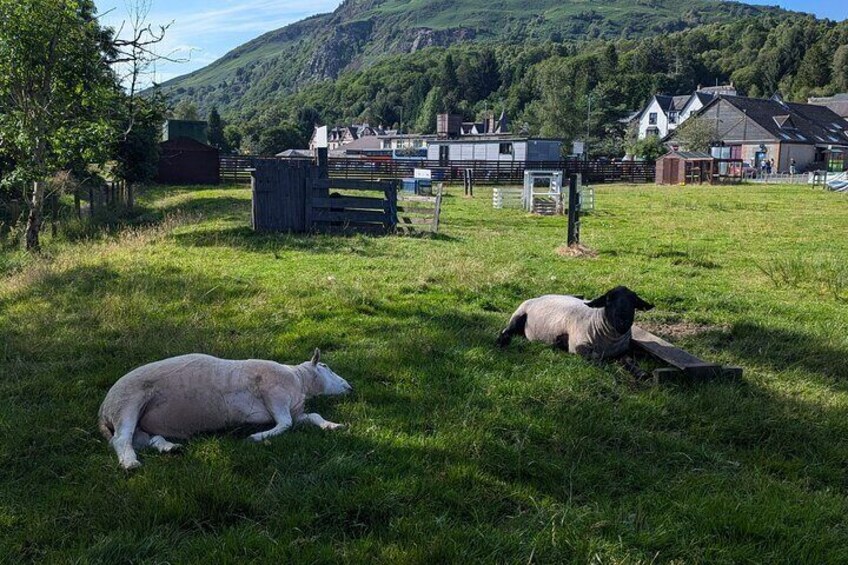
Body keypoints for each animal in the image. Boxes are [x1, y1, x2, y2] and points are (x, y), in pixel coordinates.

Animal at [98, 350, 352, 470]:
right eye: (326, 366)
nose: (350, 387)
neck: (299, 380)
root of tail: (103, 410)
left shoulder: (296, 410)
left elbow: (312, 416)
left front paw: (332, 425)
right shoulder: (273, 394)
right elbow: (285, 424)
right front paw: (256, 437)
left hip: (140, 421)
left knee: (146, 439)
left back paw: (169, 447)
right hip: (127, 403)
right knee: (121, 439)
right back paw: (130, 463)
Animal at [494, 284, 652, 360]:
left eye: (634, 302)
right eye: (608, 300)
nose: (623, 321)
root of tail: (539, 297)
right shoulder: (578, 344)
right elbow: (594, 356)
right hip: (519, 314)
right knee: (506, 331)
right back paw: (502, 342)